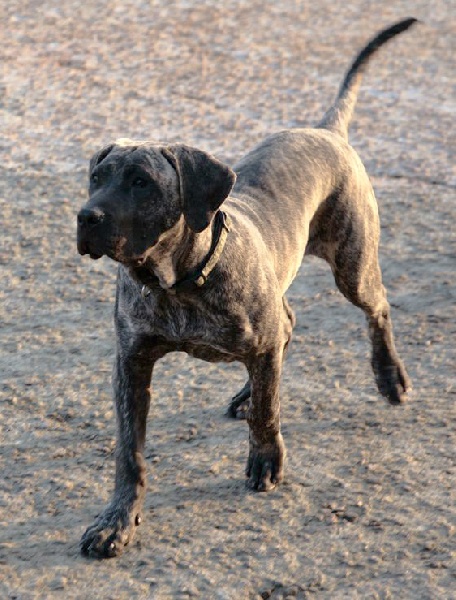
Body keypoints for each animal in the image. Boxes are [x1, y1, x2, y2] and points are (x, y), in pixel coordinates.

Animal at [77, 18, 417, 557]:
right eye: (96, 176)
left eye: (141, 182)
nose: (86, 217)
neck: (179, 282)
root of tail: (325, 130)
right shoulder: (130, 363)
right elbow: (129, 452)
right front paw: (117, 520)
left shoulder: (258, 339)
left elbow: (268, 412)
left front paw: (266, 459)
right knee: (287, 328)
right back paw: (248, 391)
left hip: (353, 265)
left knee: (375, 309)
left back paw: (390, 377)